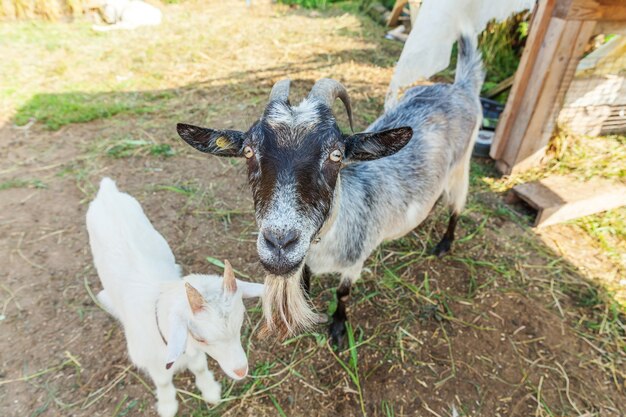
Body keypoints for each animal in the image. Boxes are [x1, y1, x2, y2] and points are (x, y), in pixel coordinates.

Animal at [176, 33, 482, 344]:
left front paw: (337, 328)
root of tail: (459, 87)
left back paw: (444, 244)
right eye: (248, 151)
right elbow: (306, 278)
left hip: (462, 167)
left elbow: (343, 293)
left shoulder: (355, 262)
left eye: (336, 155)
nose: (280, 245)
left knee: (456, 207)